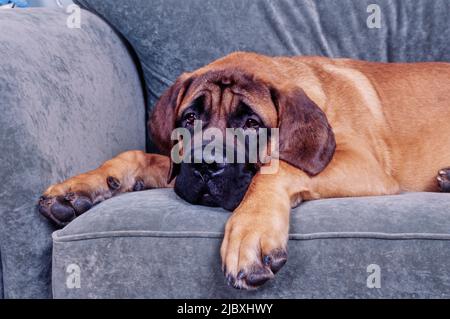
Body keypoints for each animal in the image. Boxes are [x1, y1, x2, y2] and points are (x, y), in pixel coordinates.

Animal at [37, 52, 450, 290]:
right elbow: (138, 155)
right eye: (190, 118)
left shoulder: (364, 165)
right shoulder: (176, 169)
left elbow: (276, 168)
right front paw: (80, 187)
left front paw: (251, 231)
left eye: (251, 124)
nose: (205, 165)